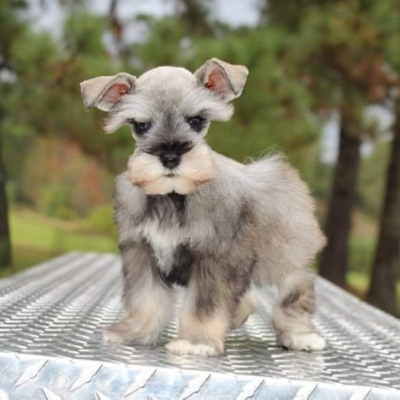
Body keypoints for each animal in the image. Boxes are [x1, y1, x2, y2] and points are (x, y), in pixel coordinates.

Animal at [79, 57, 326, 356]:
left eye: (196, 121)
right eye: (141, 126)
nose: (170, 157)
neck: (173, 195)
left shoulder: (215, 258)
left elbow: (204, 306)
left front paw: (196, 342)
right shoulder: (141, 252)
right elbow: (144, 299)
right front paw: (134, 332)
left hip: (285, 253)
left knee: (294, 291)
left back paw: (300, 335)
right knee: (248, 298)